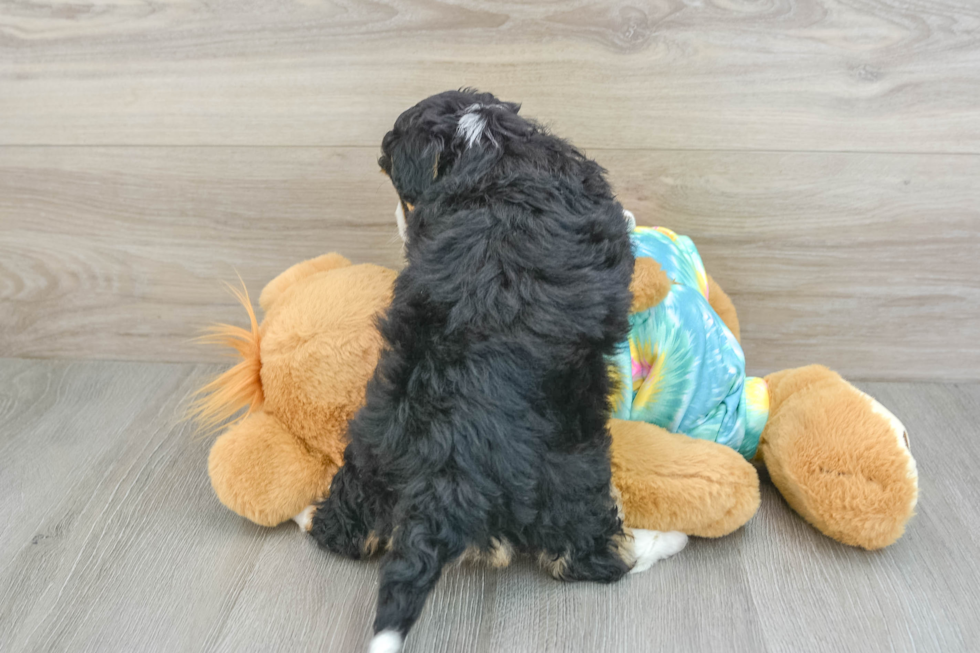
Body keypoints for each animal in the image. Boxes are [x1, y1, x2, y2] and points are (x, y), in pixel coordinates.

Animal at [310, 89, 684, 648]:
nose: (402, 224)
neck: (482, 141)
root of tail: (447, 467)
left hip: (371, 452)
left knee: (344, 527)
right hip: (576, 470)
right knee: (588, 555)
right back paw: (658, 541)